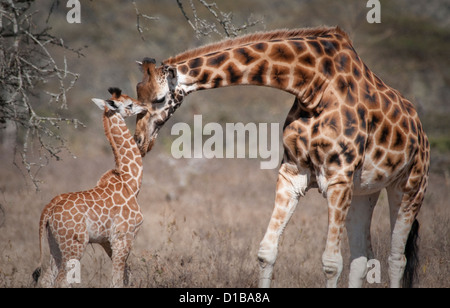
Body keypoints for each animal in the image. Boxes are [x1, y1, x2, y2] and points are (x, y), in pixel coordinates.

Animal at [33, 88, 146, 288]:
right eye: (129, 104)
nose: (145, 107)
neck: (130, 181)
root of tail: (48, 210)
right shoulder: (123, 237)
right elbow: (117, 280)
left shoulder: (107, 241)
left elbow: (126, 275)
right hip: (75, 245)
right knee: (61, 281)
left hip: (54, 244)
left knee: (46, 279)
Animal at [135, 27, 430, 288]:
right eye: (137, 94)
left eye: (159, 98)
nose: (139, 140)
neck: (313, 87)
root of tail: (422, 133)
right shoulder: (293, 173)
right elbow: (267, 252)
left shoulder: (338, 179)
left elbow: (331, 263)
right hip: (363, 192)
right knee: (362, 257)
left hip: (409, 187)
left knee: (397, 259)